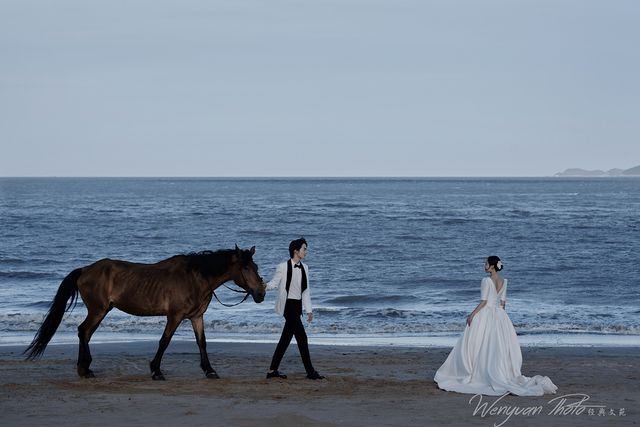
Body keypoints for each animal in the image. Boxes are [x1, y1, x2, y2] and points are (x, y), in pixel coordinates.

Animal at [25, 245, 266, 380]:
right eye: (245, 268)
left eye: (256, 267)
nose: (260, 293)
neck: (195, 277)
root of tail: (85, 270)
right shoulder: (175, 316)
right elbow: (164, 342)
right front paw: (156, 371)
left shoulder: (197, 317)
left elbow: (202, 343)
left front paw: (209, 371)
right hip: (98, 310)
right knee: (84, 332)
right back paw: (85, 369)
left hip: (102, 310)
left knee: (85, 333)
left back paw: (84, 368)